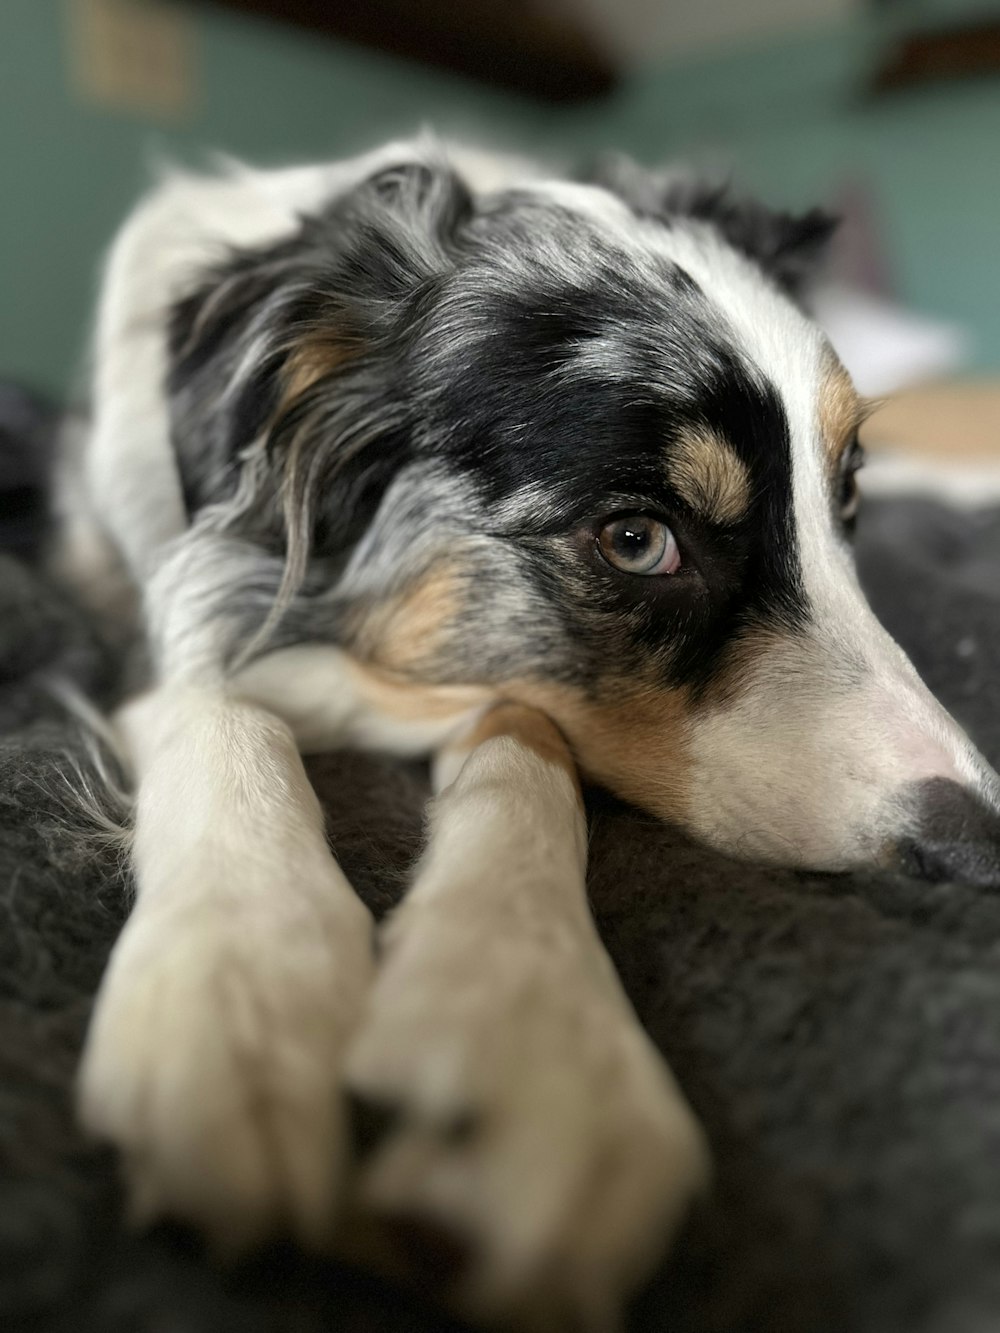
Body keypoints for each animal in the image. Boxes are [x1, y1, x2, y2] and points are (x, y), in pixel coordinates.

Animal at [56, 140, 1000, 1327]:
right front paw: (243, 986)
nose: (980, 851)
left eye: (849, 498)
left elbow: (524, 728)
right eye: (638, 539)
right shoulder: (142, 612)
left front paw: (534, 1031)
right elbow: (221, 706)